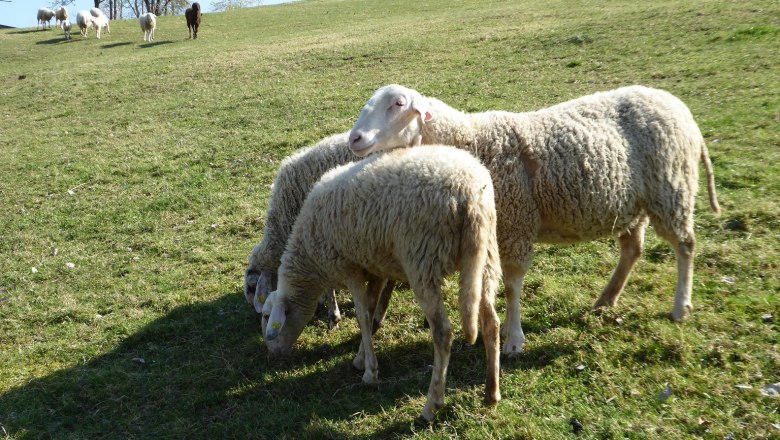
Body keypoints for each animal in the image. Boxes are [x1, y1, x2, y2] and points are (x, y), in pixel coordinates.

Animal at [263, 145, 502, 422]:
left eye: (267, 316)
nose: (271, 352)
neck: (309, 260)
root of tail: (469, 193)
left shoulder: (350, 267)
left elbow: (361, 315)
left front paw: (370, 372)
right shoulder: (373, 266)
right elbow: (370, 309)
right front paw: (360, 358)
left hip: (423, 260)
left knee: (443, 332)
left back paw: (431, 406)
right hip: (485, 255)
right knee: (491, 320)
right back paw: (491, 392)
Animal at [349, 84, 721, 355]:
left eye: (398, 103)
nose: (355, 139)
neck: (473, 141)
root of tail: (680, 108)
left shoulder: (516, 224)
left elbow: (513, 286)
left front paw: (513, 339)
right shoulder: (494, 231)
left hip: (671, 188)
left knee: (685, 245)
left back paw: (680, 306)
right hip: (634, 205)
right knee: (633, 250)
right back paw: (605, 301)